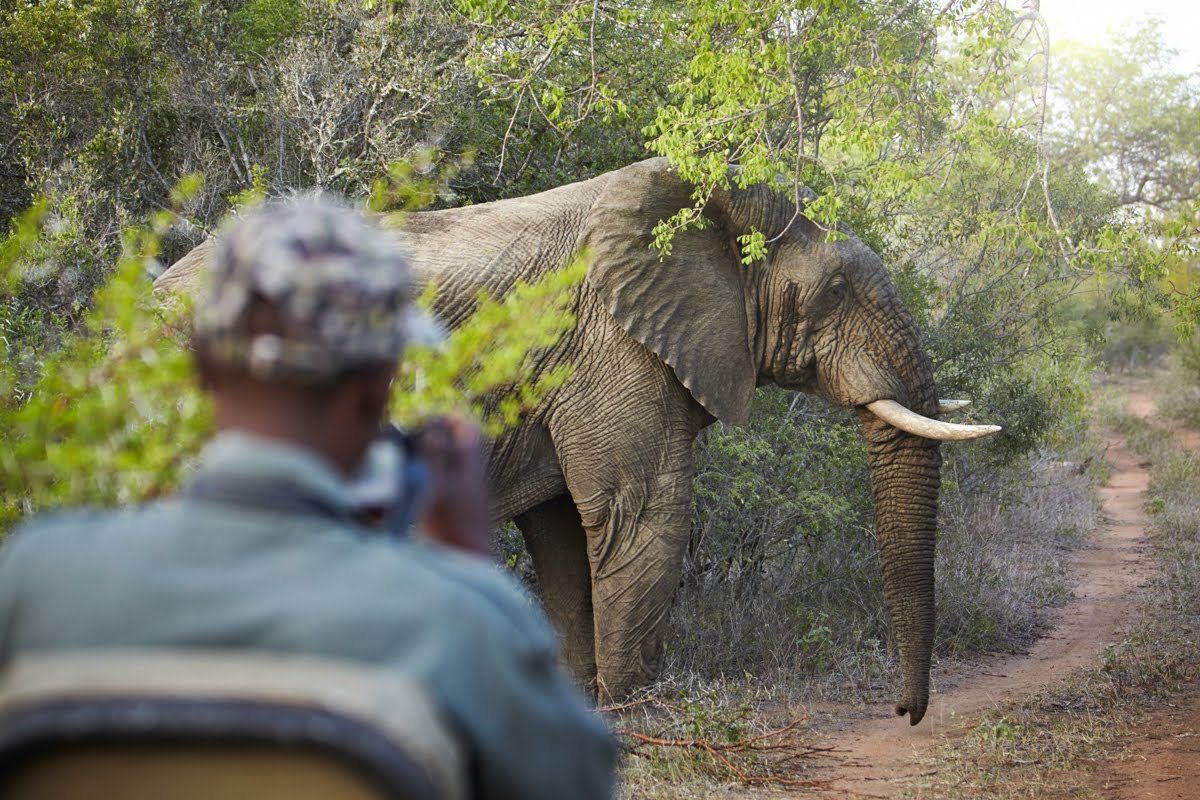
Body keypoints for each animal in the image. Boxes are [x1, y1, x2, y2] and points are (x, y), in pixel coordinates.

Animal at [157, 158, 1000, 725]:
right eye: (833, 294)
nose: (905, 713)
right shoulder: (611, 345)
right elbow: (643, 516)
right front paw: (637, 714)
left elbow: (565, 534)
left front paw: (585, 702)